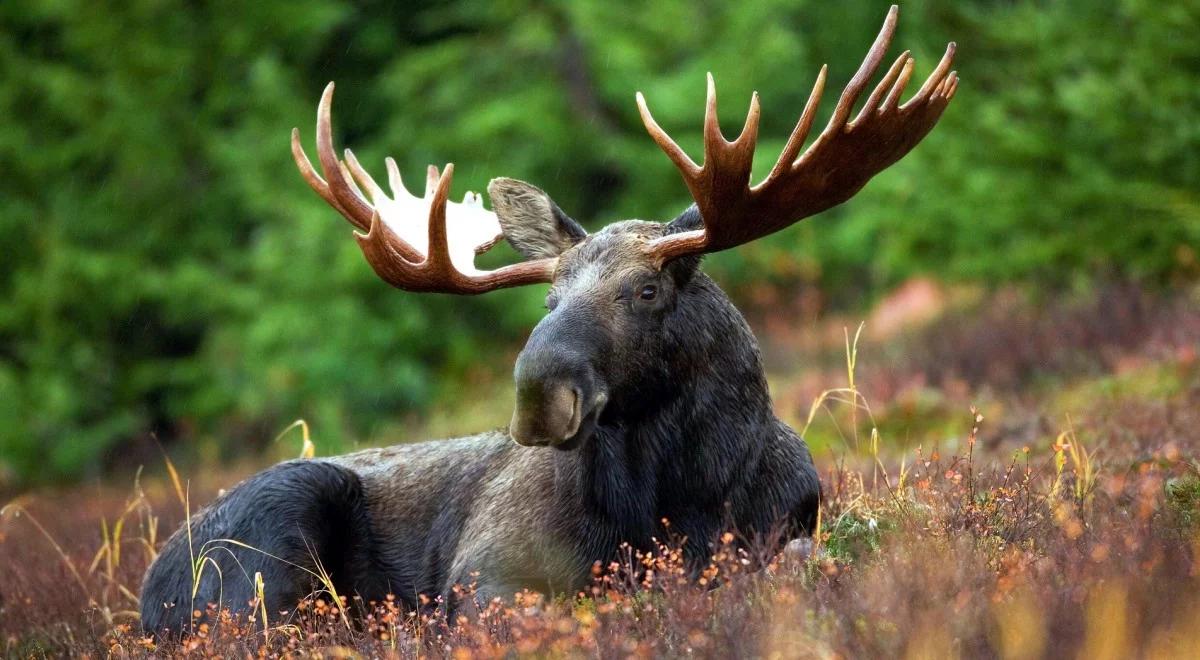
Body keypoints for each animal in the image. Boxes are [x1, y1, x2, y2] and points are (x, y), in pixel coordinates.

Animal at [138, 6, 955, 638]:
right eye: (547, 300)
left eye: (647, 290)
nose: (538, 394)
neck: (679, 499)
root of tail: (148, 593)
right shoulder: (485, 574)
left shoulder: (788, 529)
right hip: (274, 536)